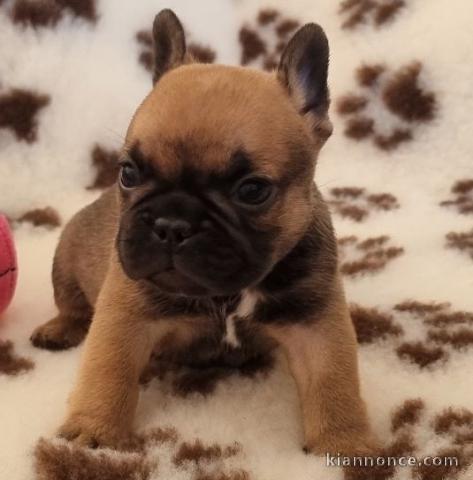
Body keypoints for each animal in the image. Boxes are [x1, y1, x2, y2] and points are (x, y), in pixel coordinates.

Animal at [30, 9, 376, 456]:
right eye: (128, 173)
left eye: (252, 190)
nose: (171, 225)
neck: (227, 294)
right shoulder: (124, 311)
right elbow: (108, 368)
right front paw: (94, 431)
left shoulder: (315, 320)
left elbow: (334, 383)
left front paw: (345, 442)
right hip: (66, 260)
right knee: (72, 306)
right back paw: (58, 329)